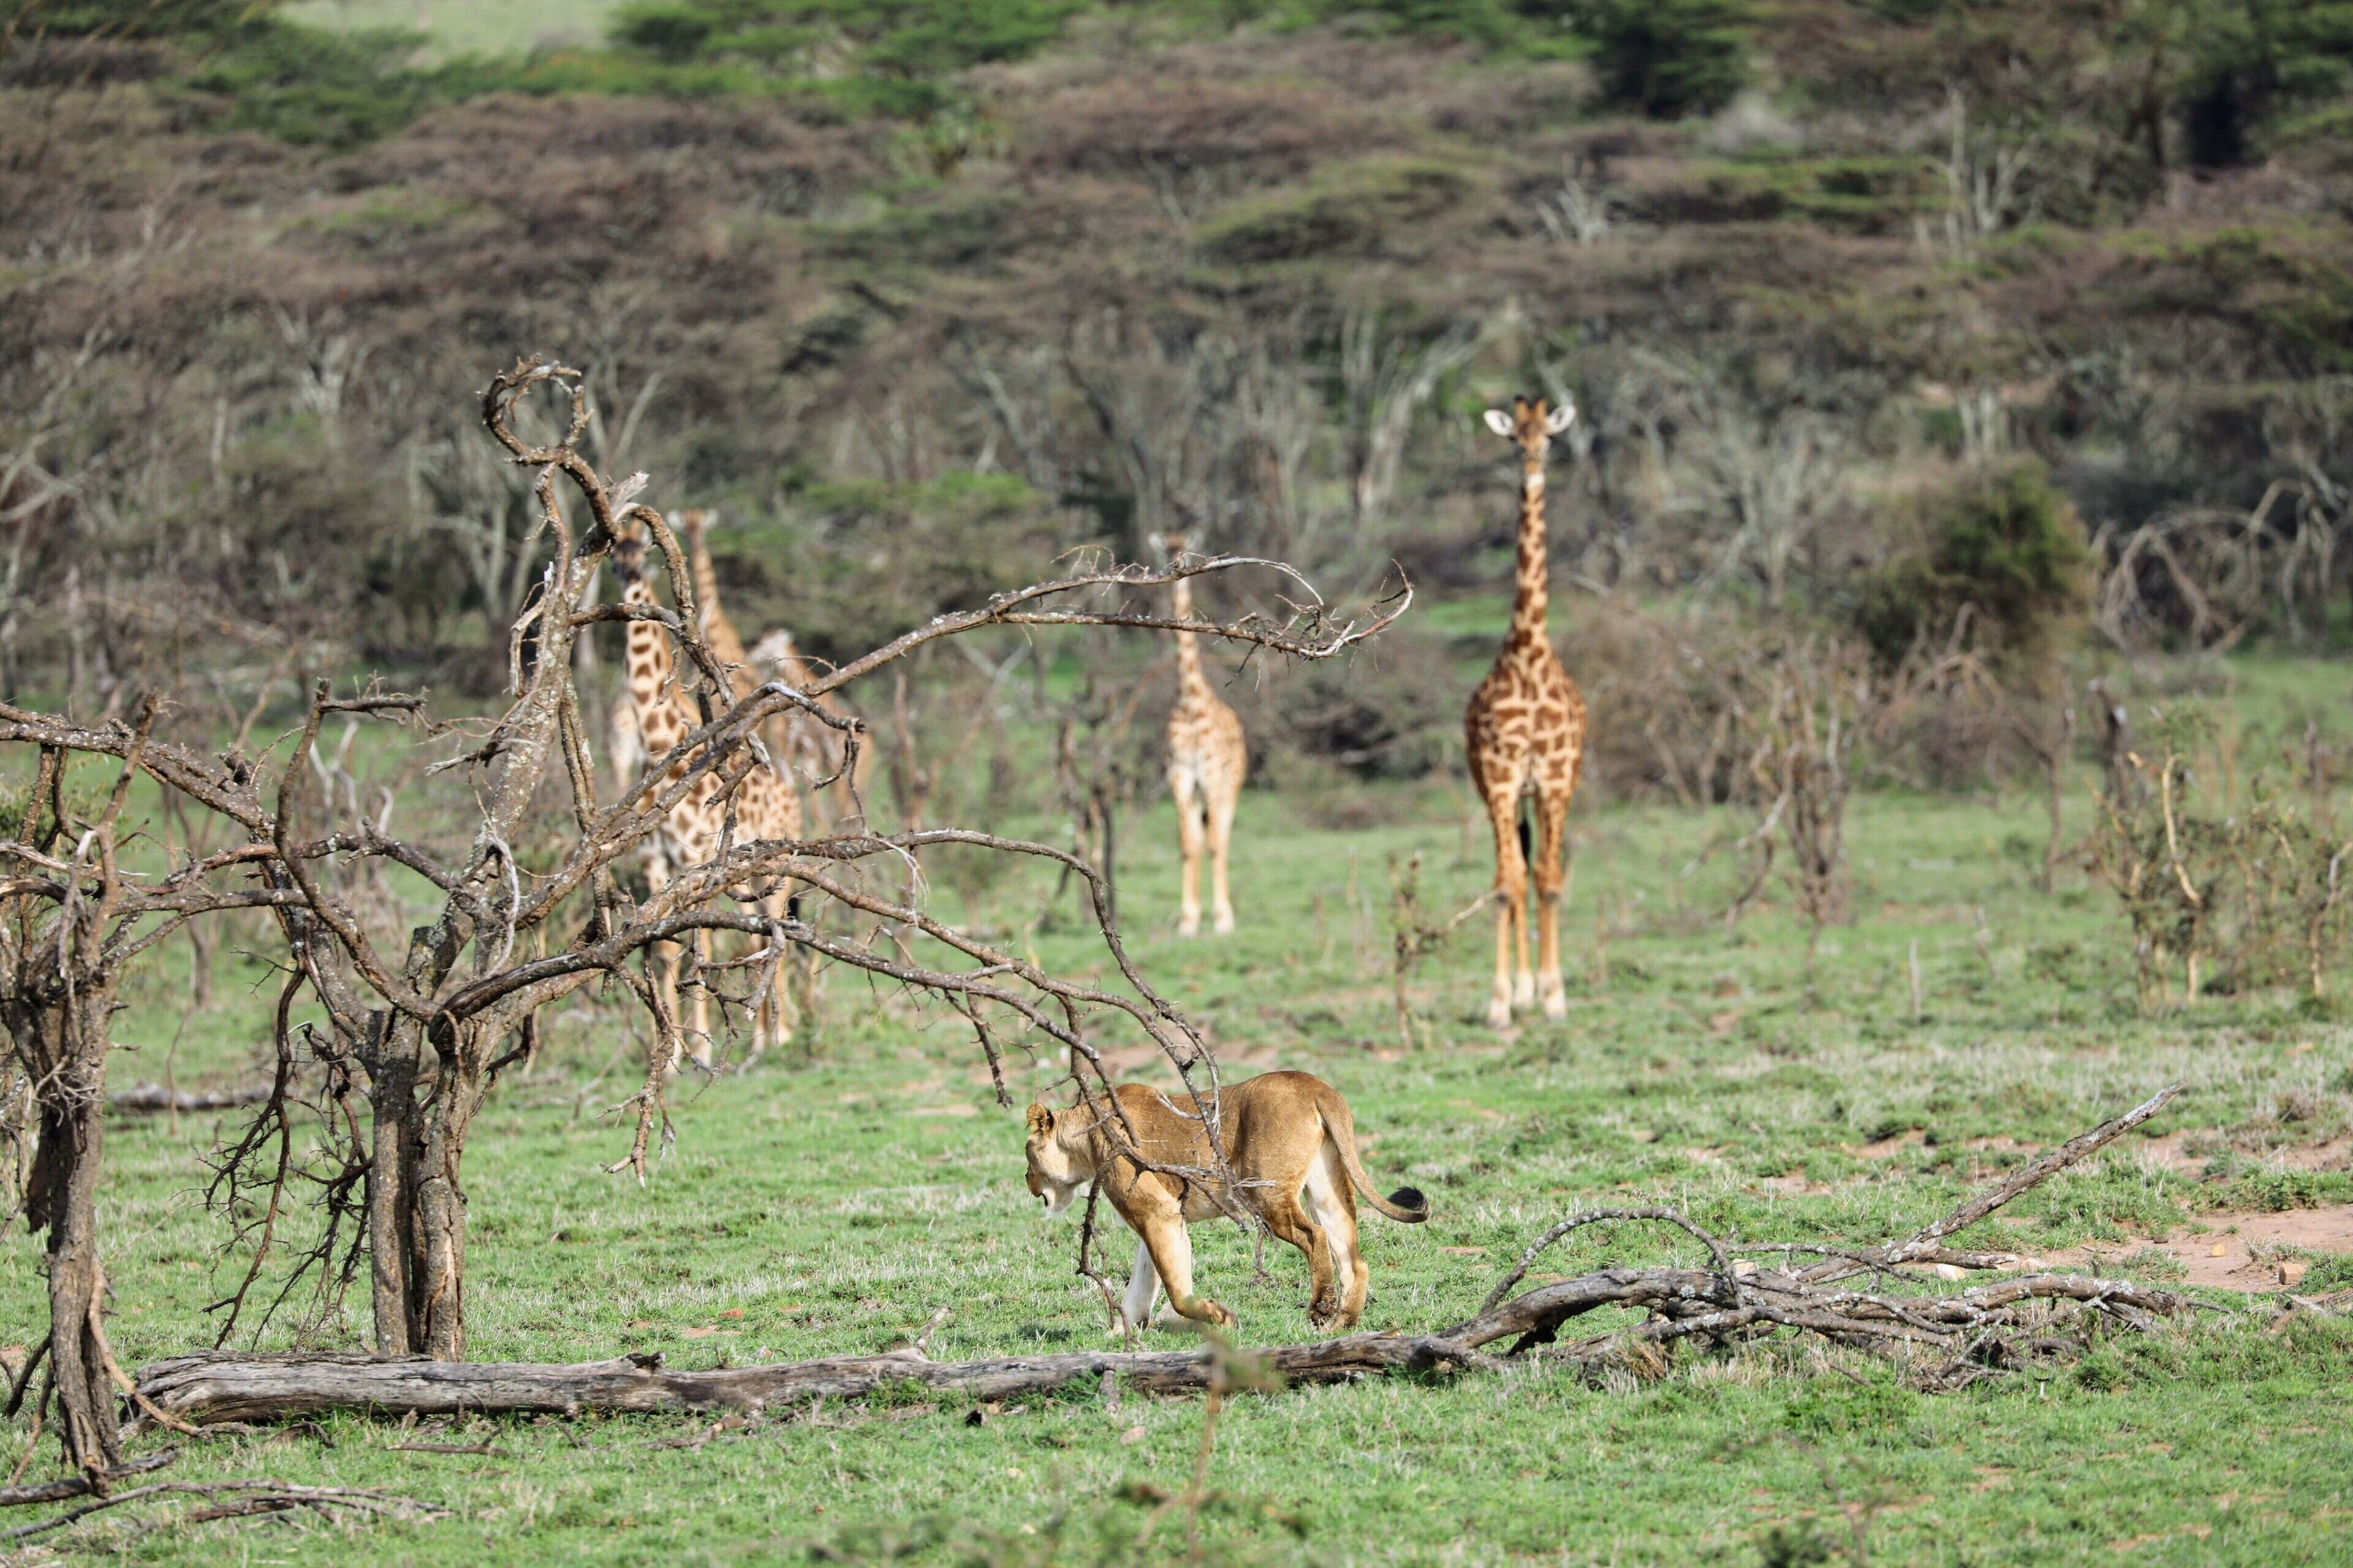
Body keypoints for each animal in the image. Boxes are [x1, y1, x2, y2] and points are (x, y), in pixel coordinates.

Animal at [611, 520, 803, 1067]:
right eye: (613, 549)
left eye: (642, 549)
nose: (625, 572)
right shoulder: (659, 864)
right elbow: (668, 946)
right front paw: (674, 1055)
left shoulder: (697, 859)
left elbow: (702, 942)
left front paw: (698, 1045)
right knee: (757, 931)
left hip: (777, 865)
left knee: (773, 931)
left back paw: (775, 1037)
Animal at [1023, 1070, 1429, 1333]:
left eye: (1027, 1155)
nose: (1027, 1180)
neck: (1084, 1139)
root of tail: (1316, 1086)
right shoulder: (1165, 1216)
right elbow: (1143, 1283)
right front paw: (1120, 1335)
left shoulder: (1157, 1212)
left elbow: (1176, 1289)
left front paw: (1222, 1318)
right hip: (1327, 1185)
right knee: (1353, 1257)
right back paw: (1342, 1324)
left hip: (1265, 1191)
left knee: (1314, 1236)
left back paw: (1320, 1309)